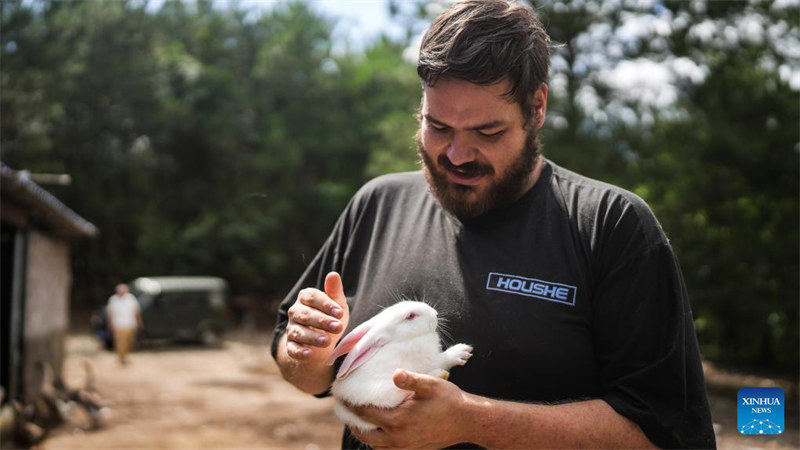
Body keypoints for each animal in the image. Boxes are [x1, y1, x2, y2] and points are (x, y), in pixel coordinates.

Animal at [324, 302, 476, 432]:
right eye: (410, 316)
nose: (435, 313)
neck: (402, 339)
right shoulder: (429, 360)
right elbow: (444, 359)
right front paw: (461, 351)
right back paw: (439, 374)